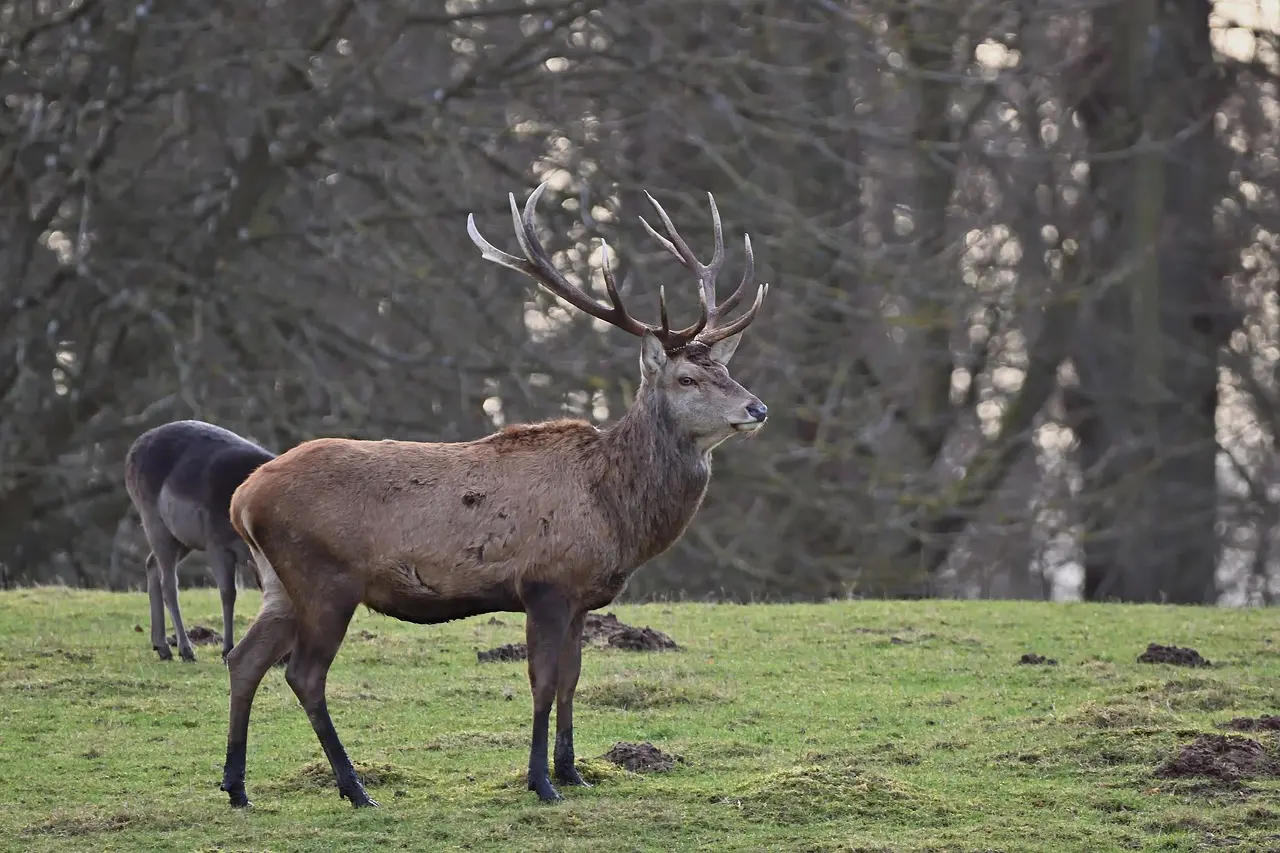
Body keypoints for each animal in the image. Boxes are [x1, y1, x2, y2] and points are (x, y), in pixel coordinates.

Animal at [124, 420, 276, 662]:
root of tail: (134, 448)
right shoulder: (217, 544)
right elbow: (228, 592)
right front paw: (227, 649)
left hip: (181, 539)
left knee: (151, 564)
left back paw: (162, 646)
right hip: (152, 519)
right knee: (168, 582)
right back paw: (186, 650)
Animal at [218, 181, 771, 809]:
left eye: (726, 371)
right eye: (687, 379)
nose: (757, 408)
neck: (614, 511)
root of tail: (242, 498)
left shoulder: (580, 597)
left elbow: (572, 681)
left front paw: (572, 772)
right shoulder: (545, 584)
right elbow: (544, 682)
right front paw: (541, 783)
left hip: (278, 581)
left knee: (244, 659)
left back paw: (237, 787)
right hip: (324, 575)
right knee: (303, 673)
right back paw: (354, 788)